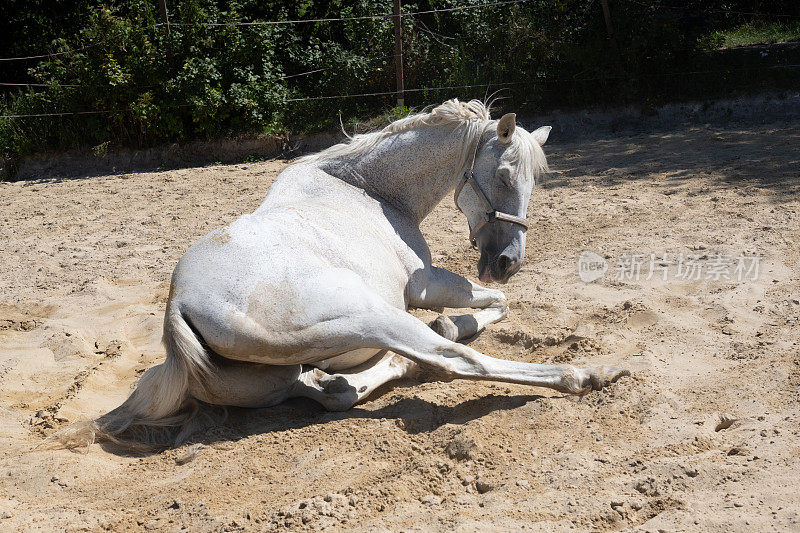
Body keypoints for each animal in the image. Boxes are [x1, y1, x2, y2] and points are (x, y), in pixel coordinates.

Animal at [59, 98, 628, 448]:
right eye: (506, 174)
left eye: (536, 178)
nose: (508, 262)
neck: (368, 189)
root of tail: (179, 303)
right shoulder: (424, 285)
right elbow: (490, 307)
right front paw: (457, 319)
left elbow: (488, 306)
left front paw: (454, 319)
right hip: (372, 315)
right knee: (452, 361)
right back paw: (587, 374)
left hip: (268, 379)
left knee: (336, 389)